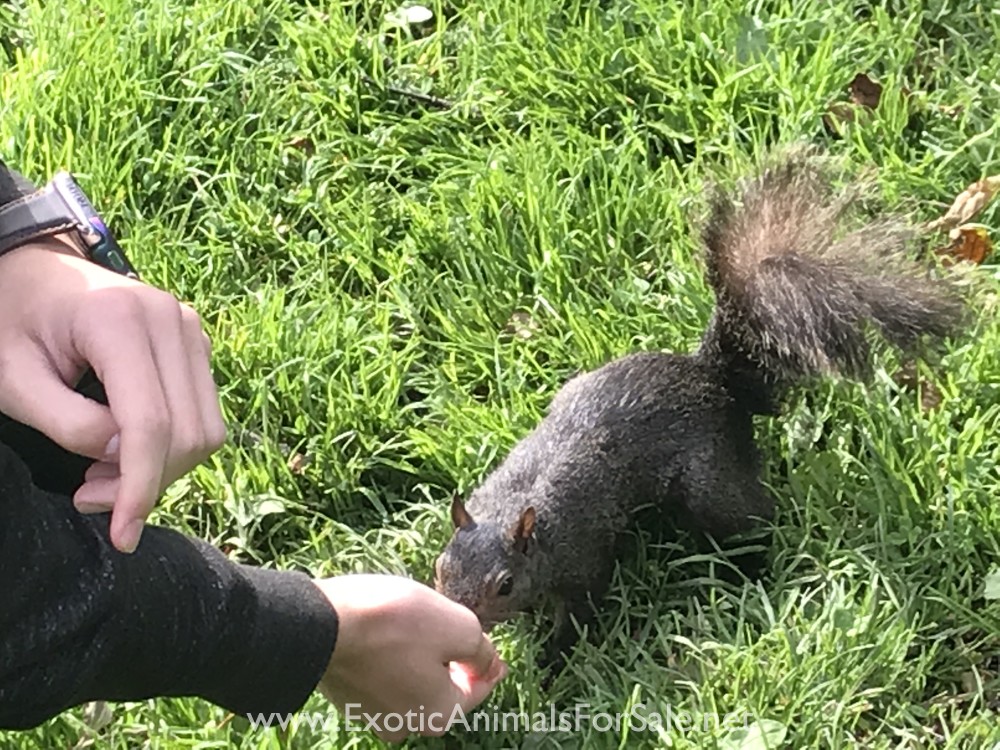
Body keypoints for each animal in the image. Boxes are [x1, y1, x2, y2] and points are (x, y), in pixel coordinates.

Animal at [432, 148, 966, 665]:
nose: (463, 616)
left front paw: (552, 660)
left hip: (713, 482)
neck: (521, 515)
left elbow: (582, 611)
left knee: (750, 519)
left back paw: (753, 571)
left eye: (504, 585)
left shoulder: (580, 553)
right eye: (440, 566)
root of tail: (712, 376)